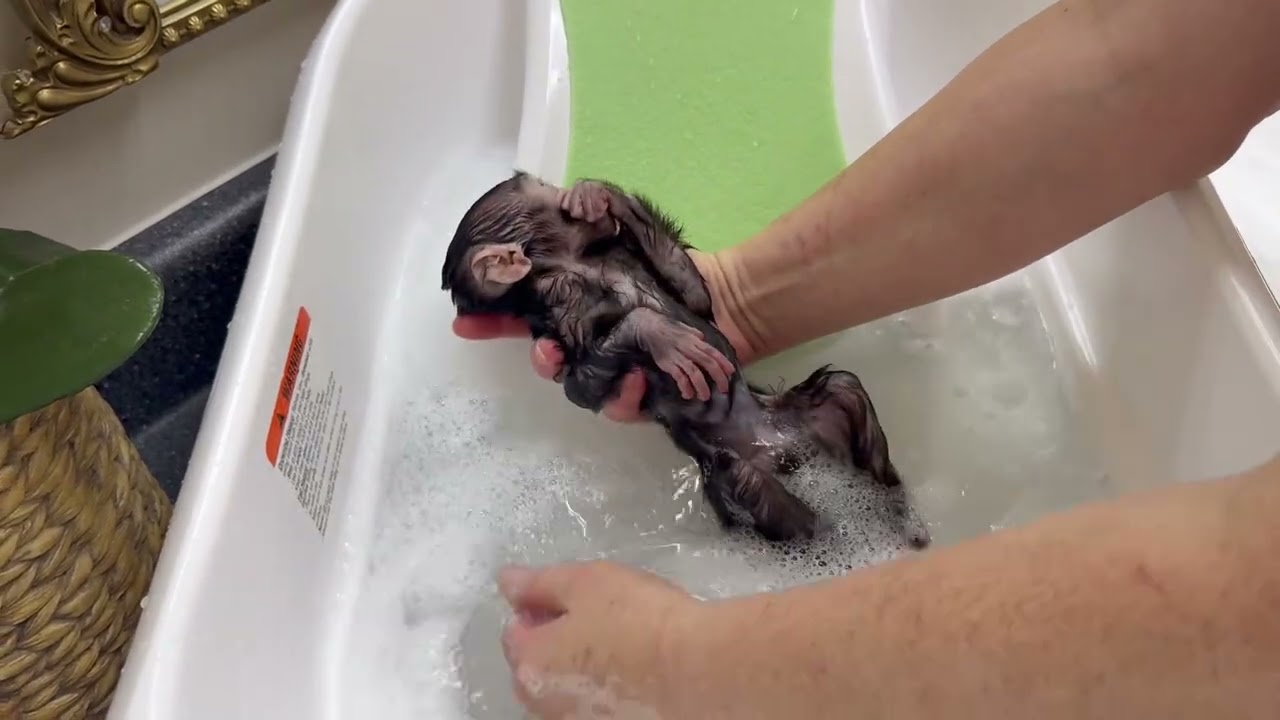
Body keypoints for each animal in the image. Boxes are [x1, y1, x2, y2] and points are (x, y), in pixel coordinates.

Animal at [441, 171, 928, 548]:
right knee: (763, 493)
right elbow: (583, 387)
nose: (565, 191)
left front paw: (598, 194)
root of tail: (788, 450)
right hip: (739, 475)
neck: (580, 266)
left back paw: (901, 519)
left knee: (845, 389)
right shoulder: (562, 314)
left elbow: (696, 296)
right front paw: (659, 333)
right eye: (541, 187)